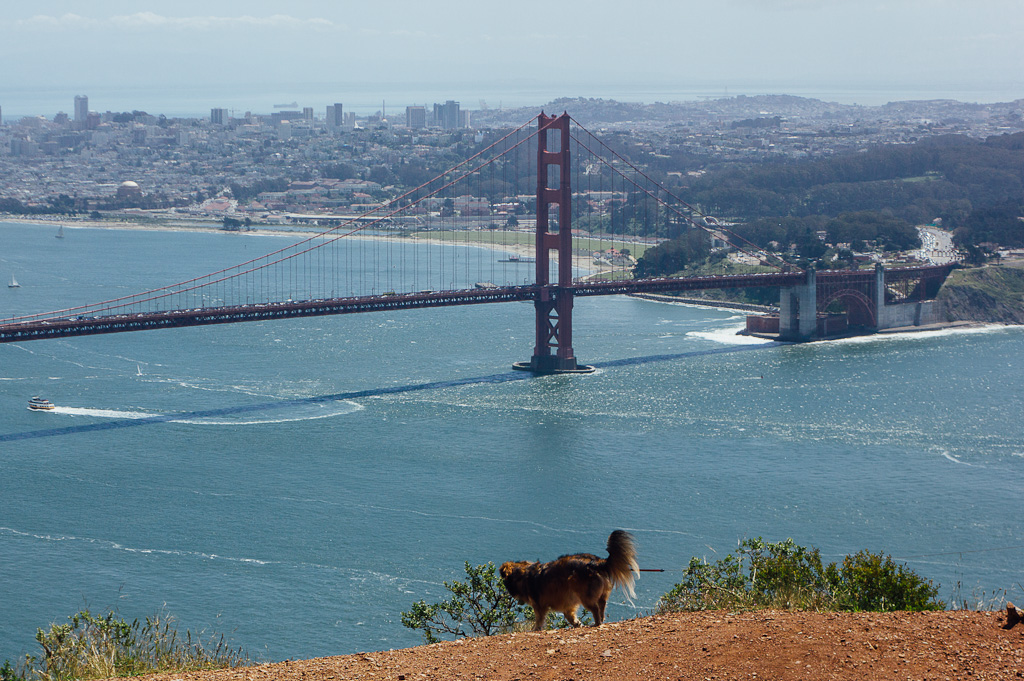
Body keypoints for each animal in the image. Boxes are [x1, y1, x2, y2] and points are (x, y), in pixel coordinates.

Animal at [499, 528, 634, 630]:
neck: (524, 575)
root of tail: (596, 562)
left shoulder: (539, 606)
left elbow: (539, 620)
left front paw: (536, 629)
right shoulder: (568, 606)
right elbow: (571, 618)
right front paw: (578, 624)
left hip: (585, 596)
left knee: (595, 609)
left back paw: (596, 623)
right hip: (600, 594)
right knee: (602, 606)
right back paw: (600, 620)